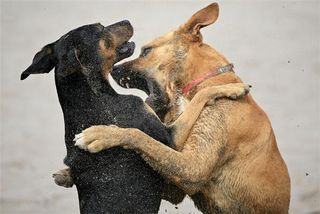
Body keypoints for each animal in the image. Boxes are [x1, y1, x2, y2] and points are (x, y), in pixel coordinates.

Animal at [74, 3, 290, 214]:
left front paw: (101, 134)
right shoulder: (175, 185)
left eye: (146, 51)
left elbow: (139, 136)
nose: (114, 69)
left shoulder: (192, 169)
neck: (206, 80)